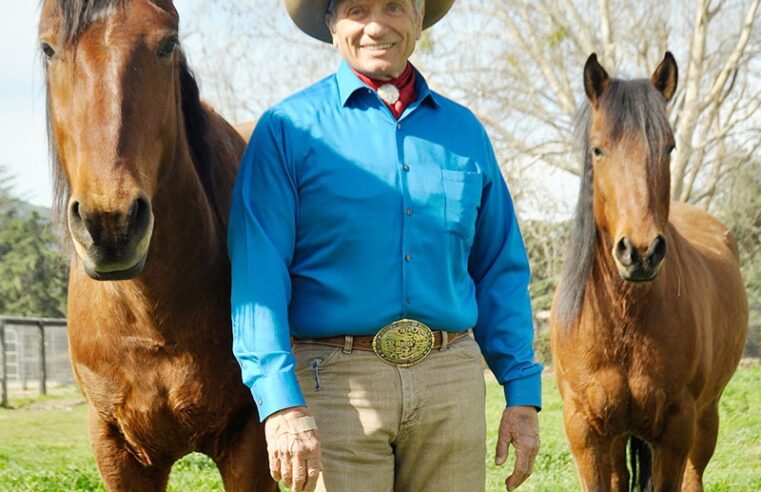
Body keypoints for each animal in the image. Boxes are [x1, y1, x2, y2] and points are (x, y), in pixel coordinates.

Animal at [548, 52, 744, 490]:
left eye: (668, 148)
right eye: (598, 150)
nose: (640, 253)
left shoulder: (675, 430)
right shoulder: (586, 433)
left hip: (705, 419)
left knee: (694, 475)